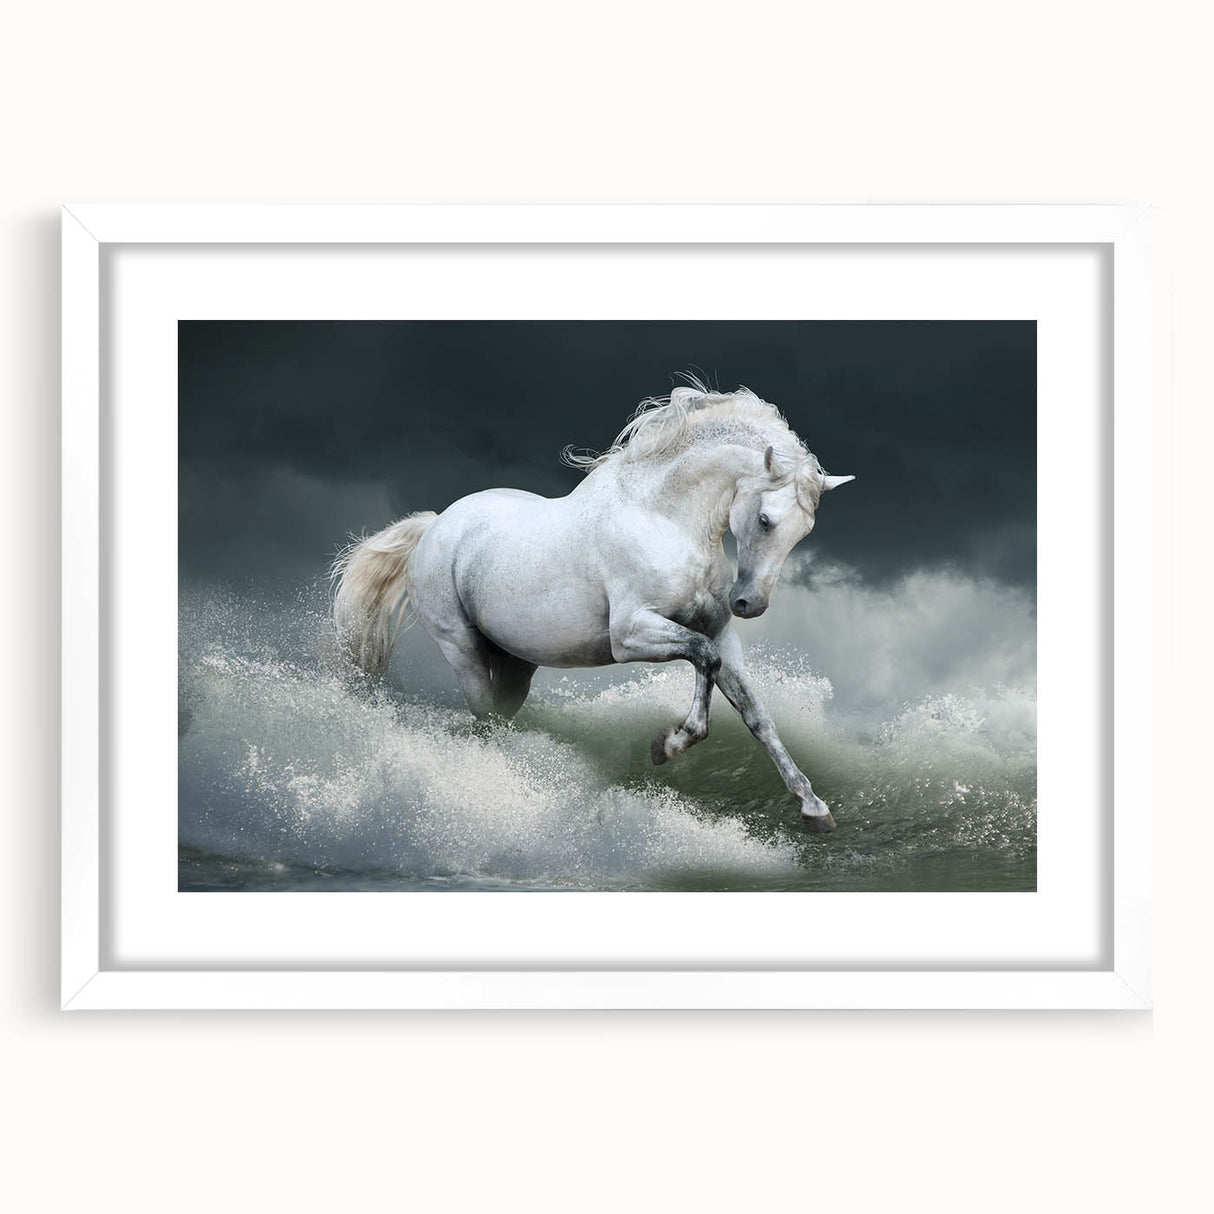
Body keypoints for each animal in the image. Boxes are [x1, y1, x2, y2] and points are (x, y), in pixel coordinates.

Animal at [331, 383, 854, 831]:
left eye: (803, 531)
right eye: (765, 520)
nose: (749, 603)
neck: (662, 518)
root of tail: (435, 525)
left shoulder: (722, 634)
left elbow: (755, 713)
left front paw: (814, 808)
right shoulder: (630, 635)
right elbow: (703, 659)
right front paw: (667, 745)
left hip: (516, 665)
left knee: (500, 715)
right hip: (462, 650)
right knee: (482, 715)